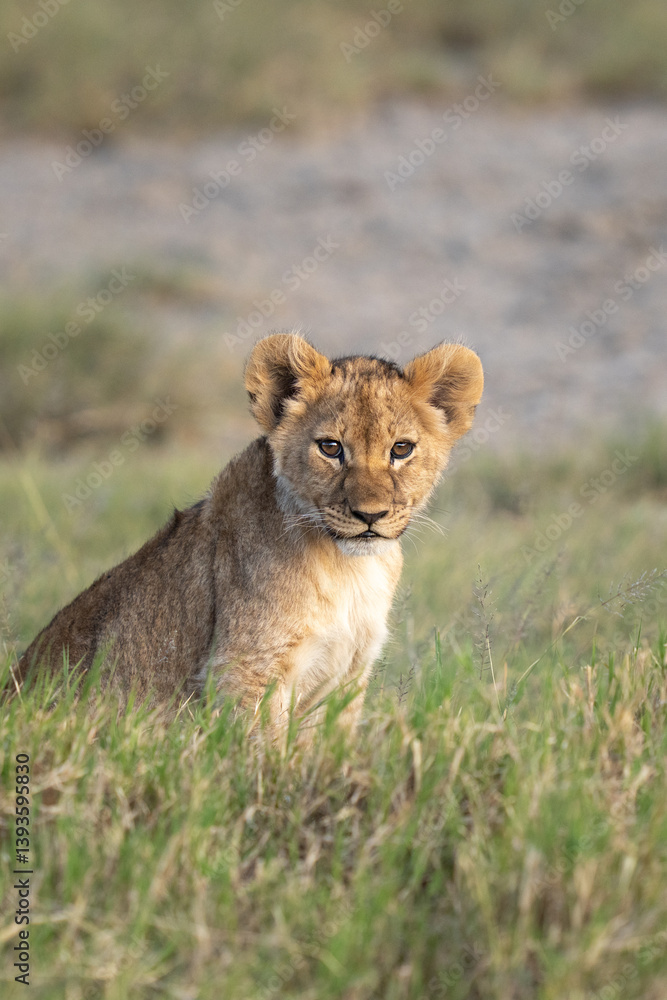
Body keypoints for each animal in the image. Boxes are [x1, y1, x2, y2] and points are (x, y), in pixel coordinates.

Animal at [15, 333, 483, 734]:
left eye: (401, 449)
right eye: (331, 448)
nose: (370, 515)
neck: (348, 570)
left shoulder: (344, 681)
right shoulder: (244, 671)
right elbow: (264, 757)